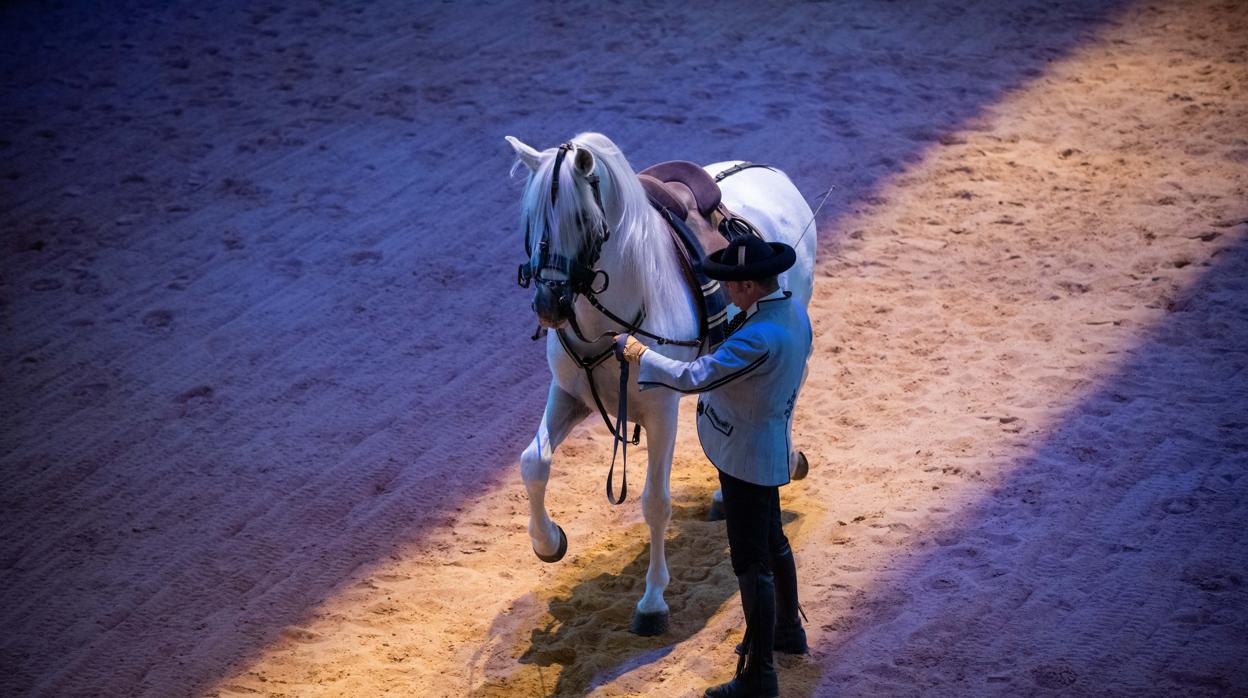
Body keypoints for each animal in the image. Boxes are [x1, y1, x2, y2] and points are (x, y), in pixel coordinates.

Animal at [506, 132, 816, 635]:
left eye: (581, 219)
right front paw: (548, 542)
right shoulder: (570, 395)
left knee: (789, 388)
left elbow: (655, 502)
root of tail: (768, 170)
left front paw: (652, 602)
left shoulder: (661, 411)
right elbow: (534, 462)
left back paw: (782, 460)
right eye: (531, 219)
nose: (548, 304)